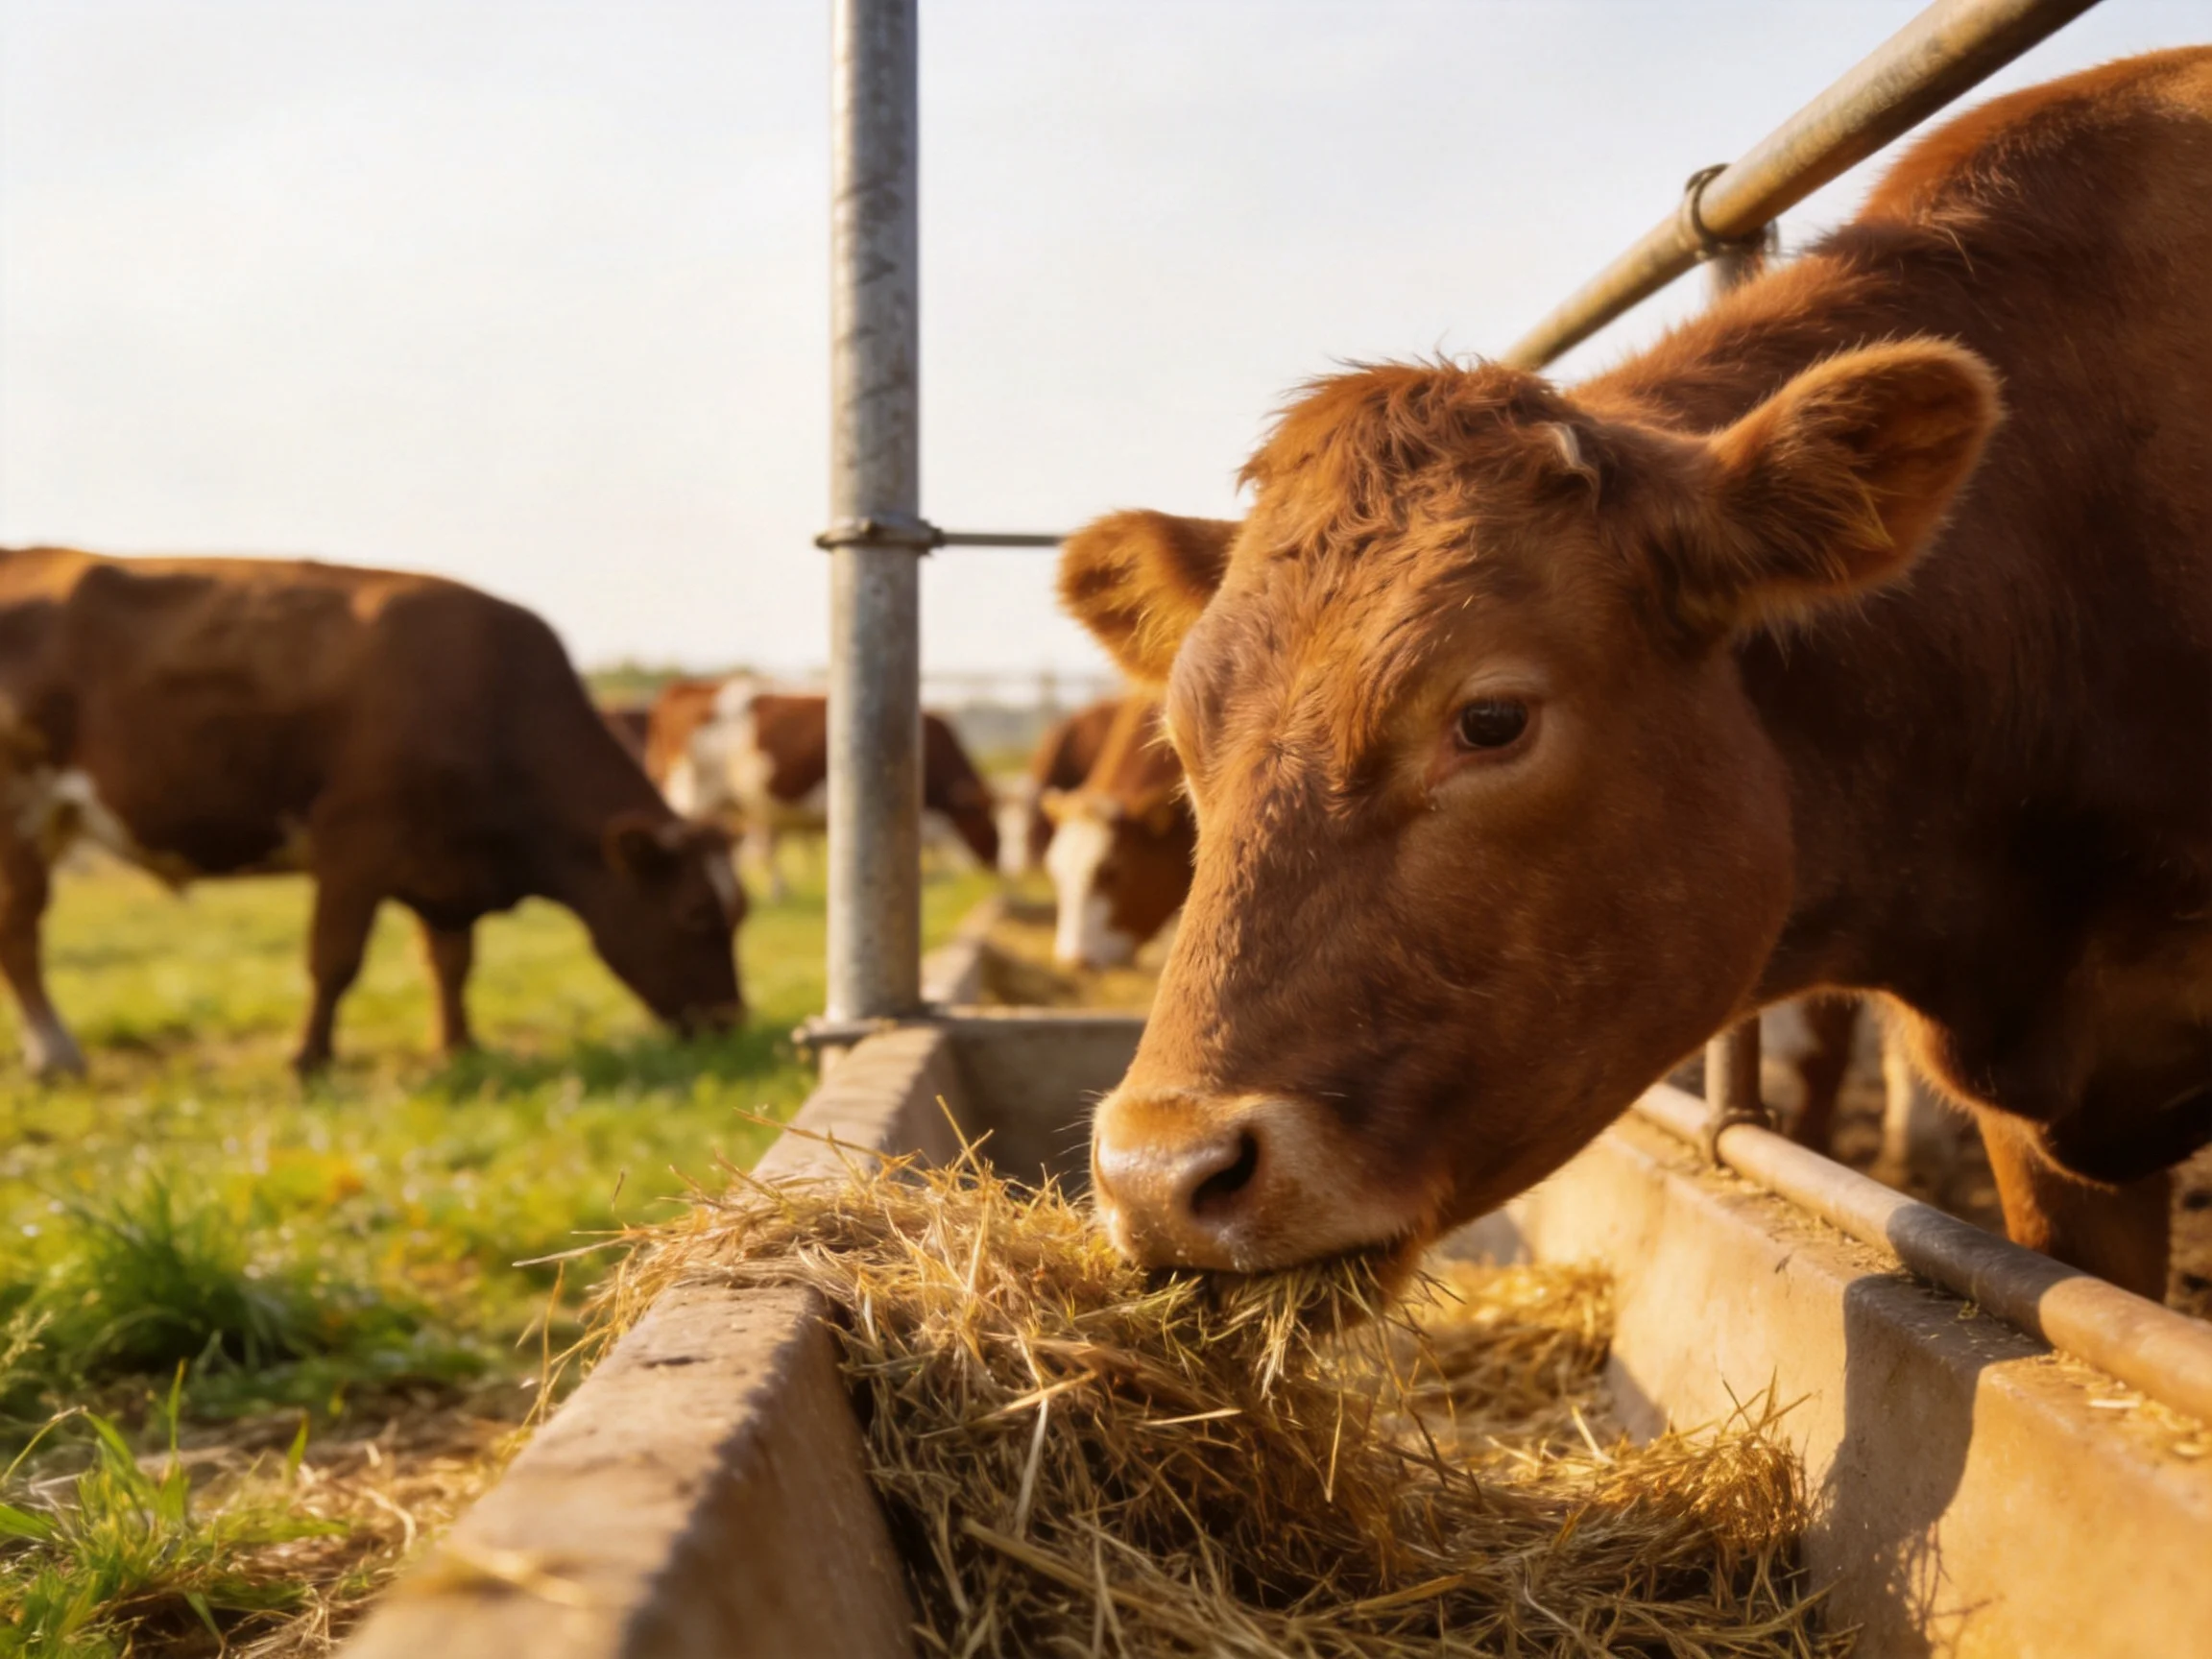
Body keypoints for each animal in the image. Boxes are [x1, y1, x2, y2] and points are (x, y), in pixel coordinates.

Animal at [0, 549, 746, 1078]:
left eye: (738, 914)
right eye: (694, 914)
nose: (732, 1023)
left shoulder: (443, 868)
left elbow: (451, 962)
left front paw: (458, 1046)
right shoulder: (354, 848)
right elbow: (334, 962)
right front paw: (309, 1060)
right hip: (22, 813)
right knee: (20, 933)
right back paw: (56, 1056)